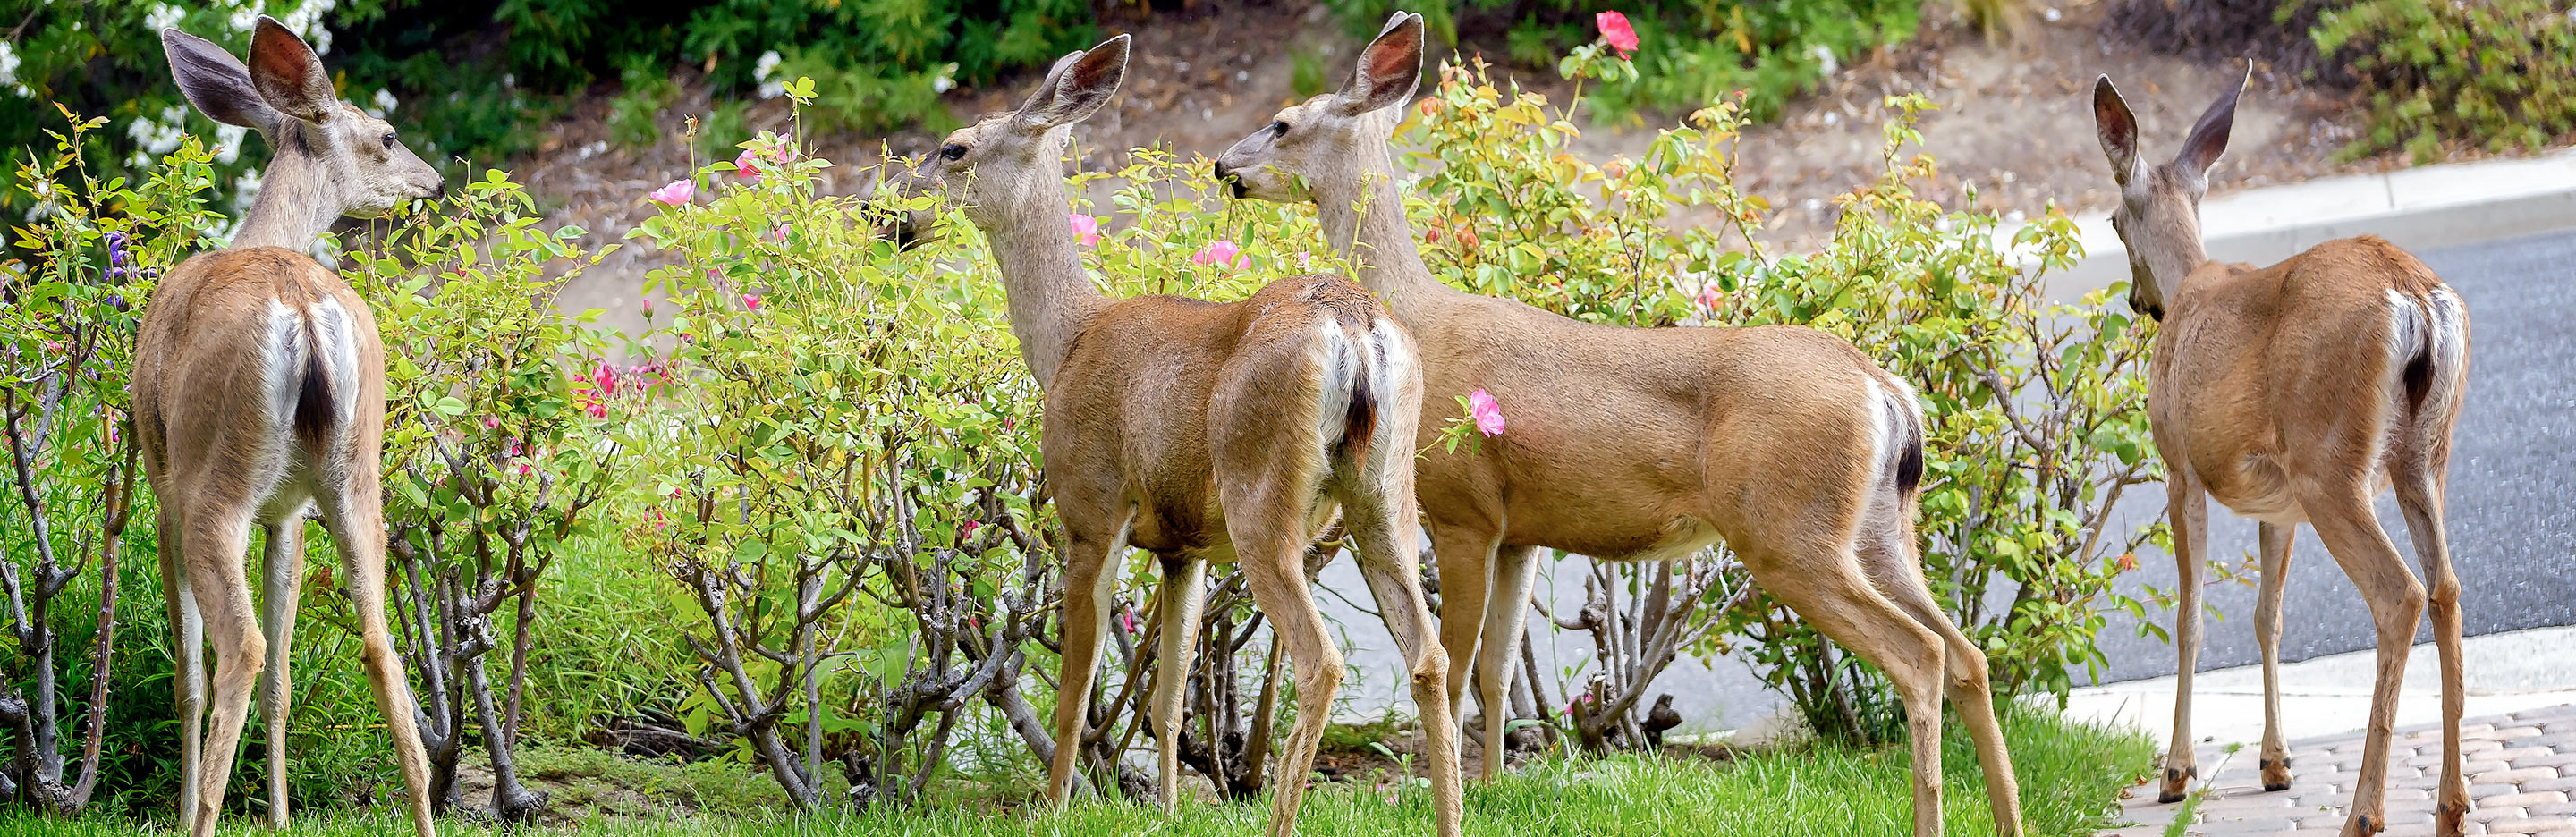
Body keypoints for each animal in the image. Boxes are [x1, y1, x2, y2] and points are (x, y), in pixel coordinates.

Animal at [142, 18, 442, 837]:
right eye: (389, 135)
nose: (435, 182)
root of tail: (303, 309)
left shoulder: (160, 482)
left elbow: (187, 674)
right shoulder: (290, 511)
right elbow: (282, 677)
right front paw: (278, 817)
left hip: (213, 483)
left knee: (239, 649)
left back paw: (200, 816)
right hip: (354, 476)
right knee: (377, 642)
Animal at [899, 34, 1461, 837]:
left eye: (953, 148)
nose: (889, 215)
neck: (1067, 341)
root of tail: (1353, 323)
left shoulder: (1090, 511)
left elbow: (1074, 693)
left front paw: (1055, 807)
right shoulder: (1182, 548)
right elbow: (1166, 699)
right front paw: (1165, 810)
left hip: (1261, 493)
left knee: (1320, 659)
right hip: (1384, 493)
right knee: (1430, 657)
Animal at [1215, 14, 2022, 837]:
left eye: (1282, 123)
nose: (1222, 166)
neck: (1418, 317)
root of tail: (1884, 388)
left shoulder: (1464, 508)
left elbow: (1459, 663)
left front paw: (1458, 792)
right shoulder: (1522, 530)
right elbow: (1500, 667)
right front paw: (1497, 786)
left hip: (1789, 530)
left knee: (1921, 656)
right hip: (1881, 528)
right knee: (1968, 656)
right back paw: (2008, 817)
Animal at [2092, 68, 2471, 836]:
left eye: (2114, 222)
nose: (2140, 303)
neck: (2193, 282)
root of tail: (2415, 298)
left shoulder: (2180, 470)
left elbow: (2191, 617)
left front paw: (2176, 772)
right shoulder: (2279, 503)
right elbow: (2269, 617)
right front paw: (2275, 762)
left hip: (2330, 460)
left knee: (2400, 592)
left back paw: (2364, 813)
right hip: (2422, 455)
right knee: (2445, 587)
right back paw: (2450, 806)